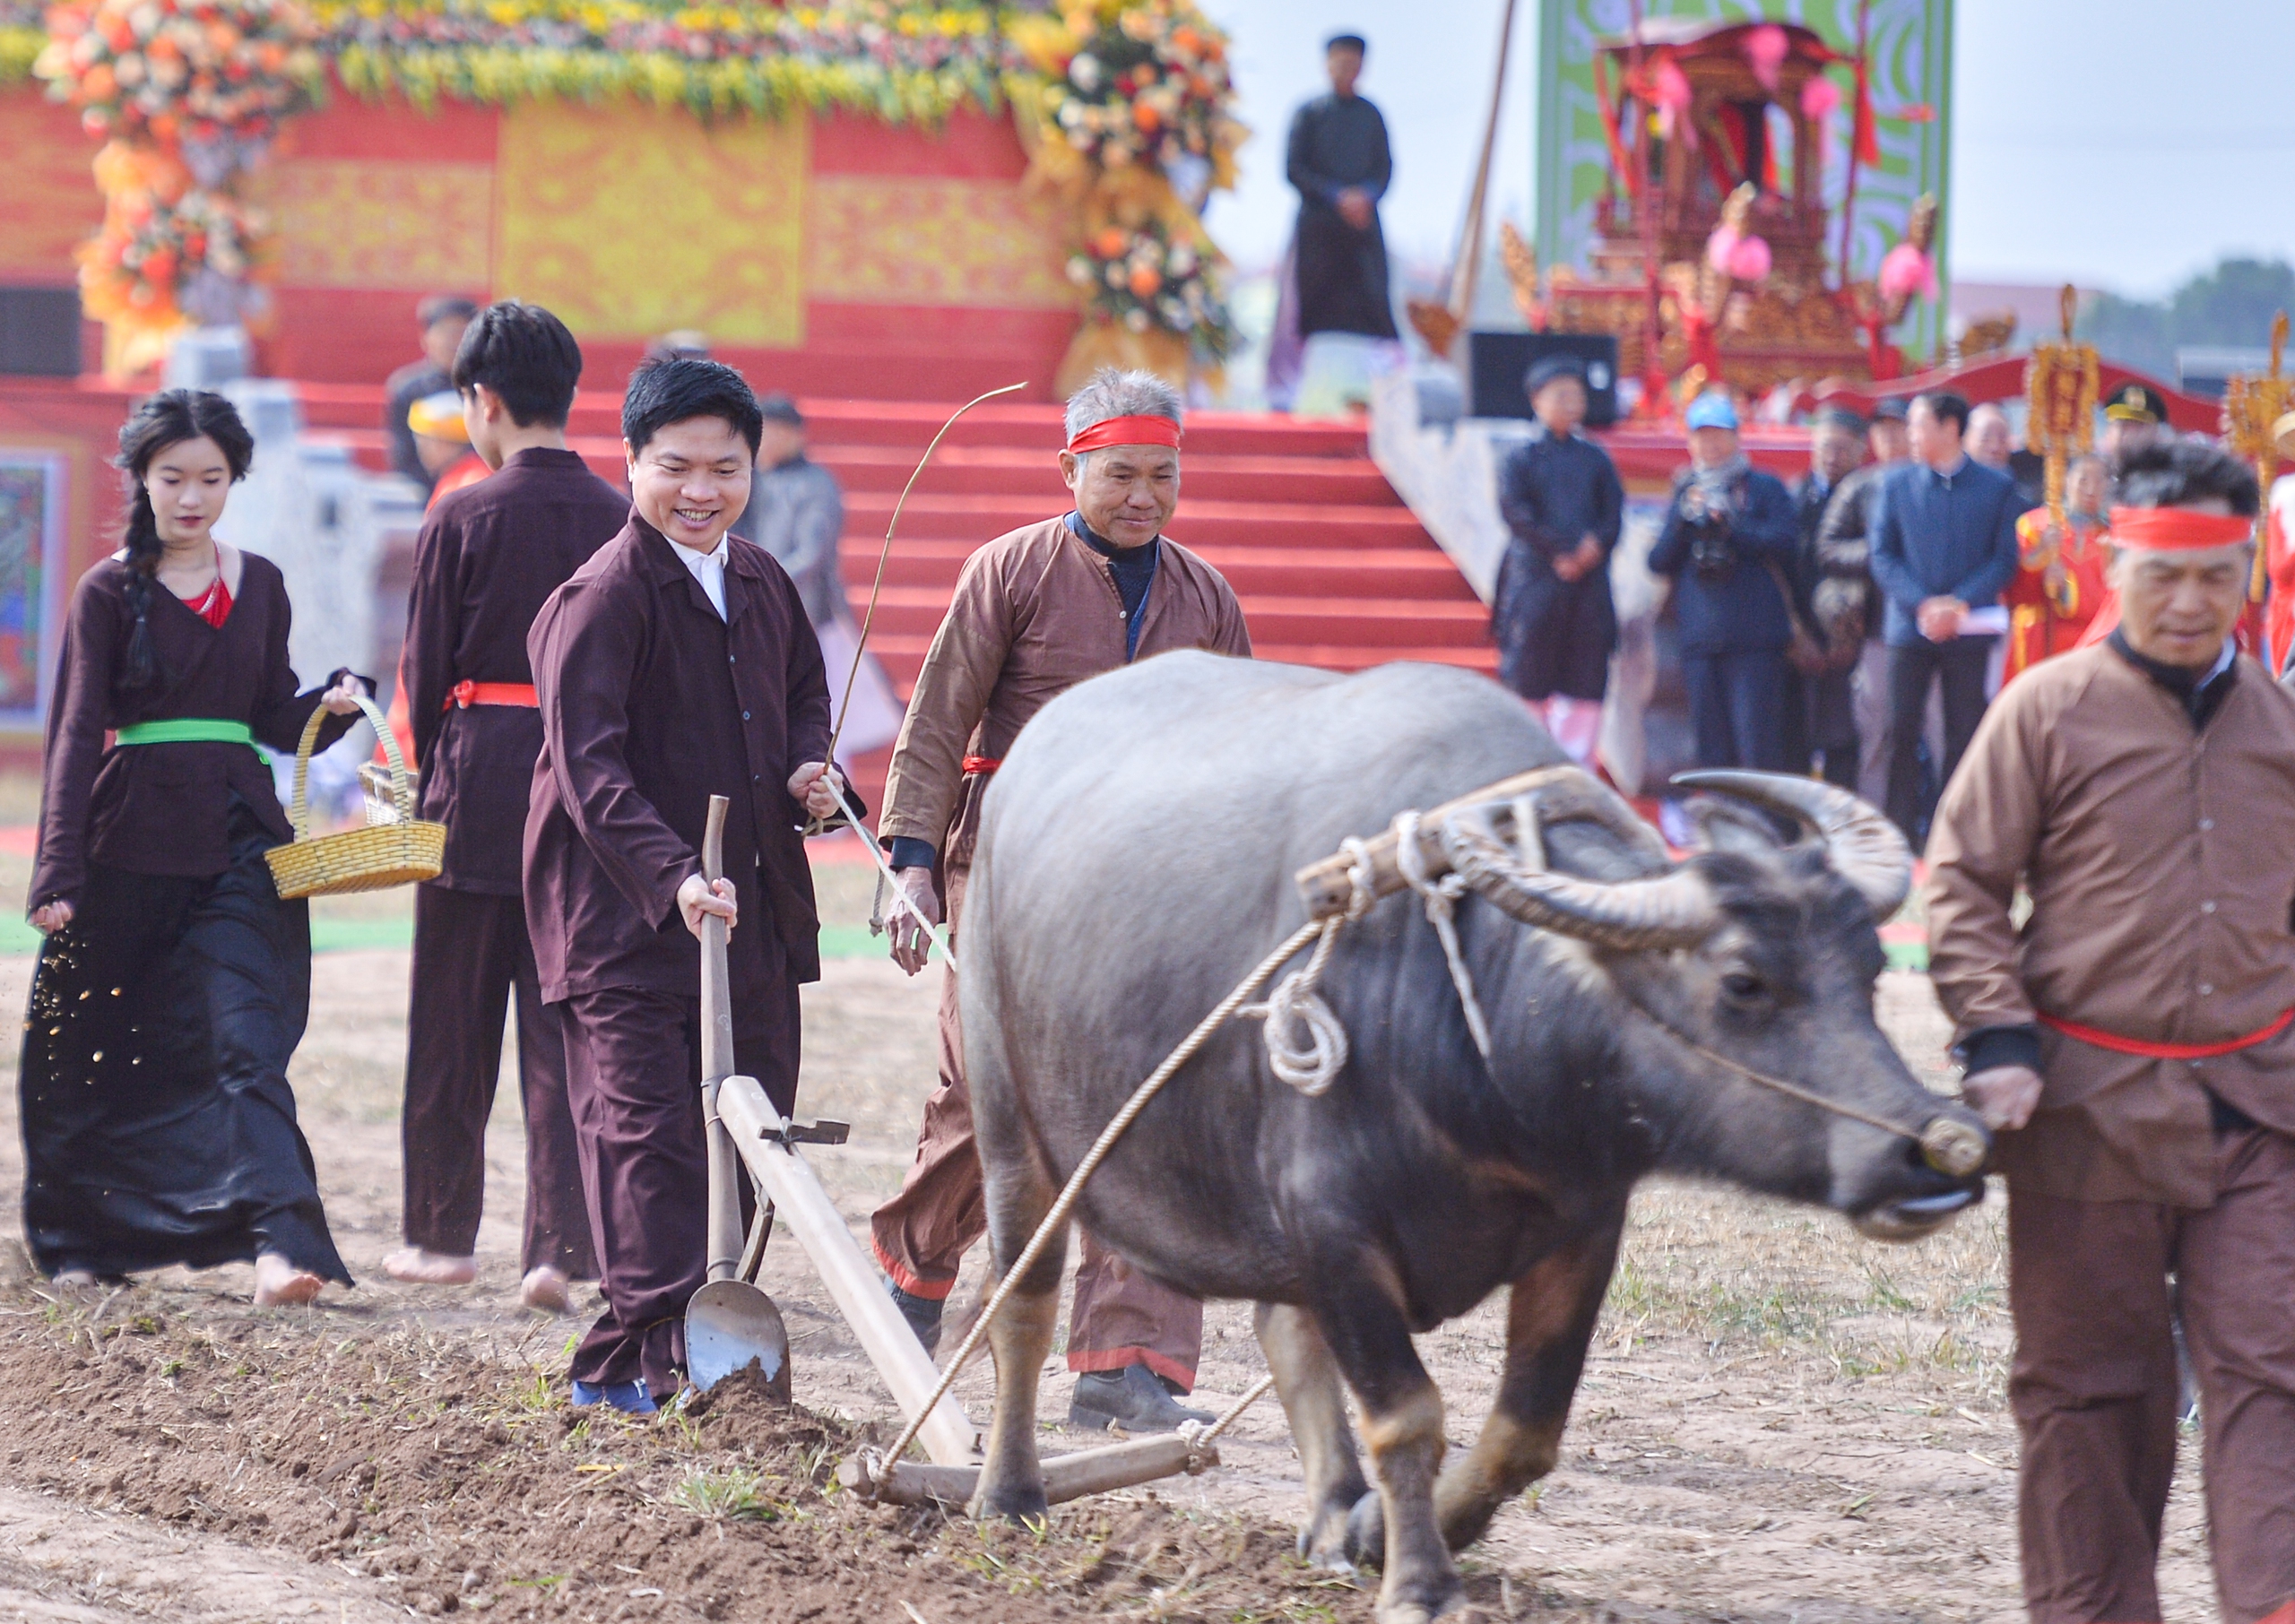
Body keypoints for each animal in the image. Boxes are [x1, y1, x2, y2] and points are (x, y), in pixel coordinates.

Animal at [959, 651, 1982, 1614]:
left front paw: (1379, 1534)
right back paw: (1008, 1497)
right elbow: (1408, 1416)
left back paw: (1331, 1515)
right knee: (1023, 1307)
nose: (1933, 1150)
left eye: (1870, 969)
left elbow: (1524, 1432)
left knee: (1285, 1329)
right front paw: (1419, 1581)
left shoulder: (1580, 1227)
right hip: (1010, 1132)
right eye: (1742, 982)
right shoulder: (1335, 1224)